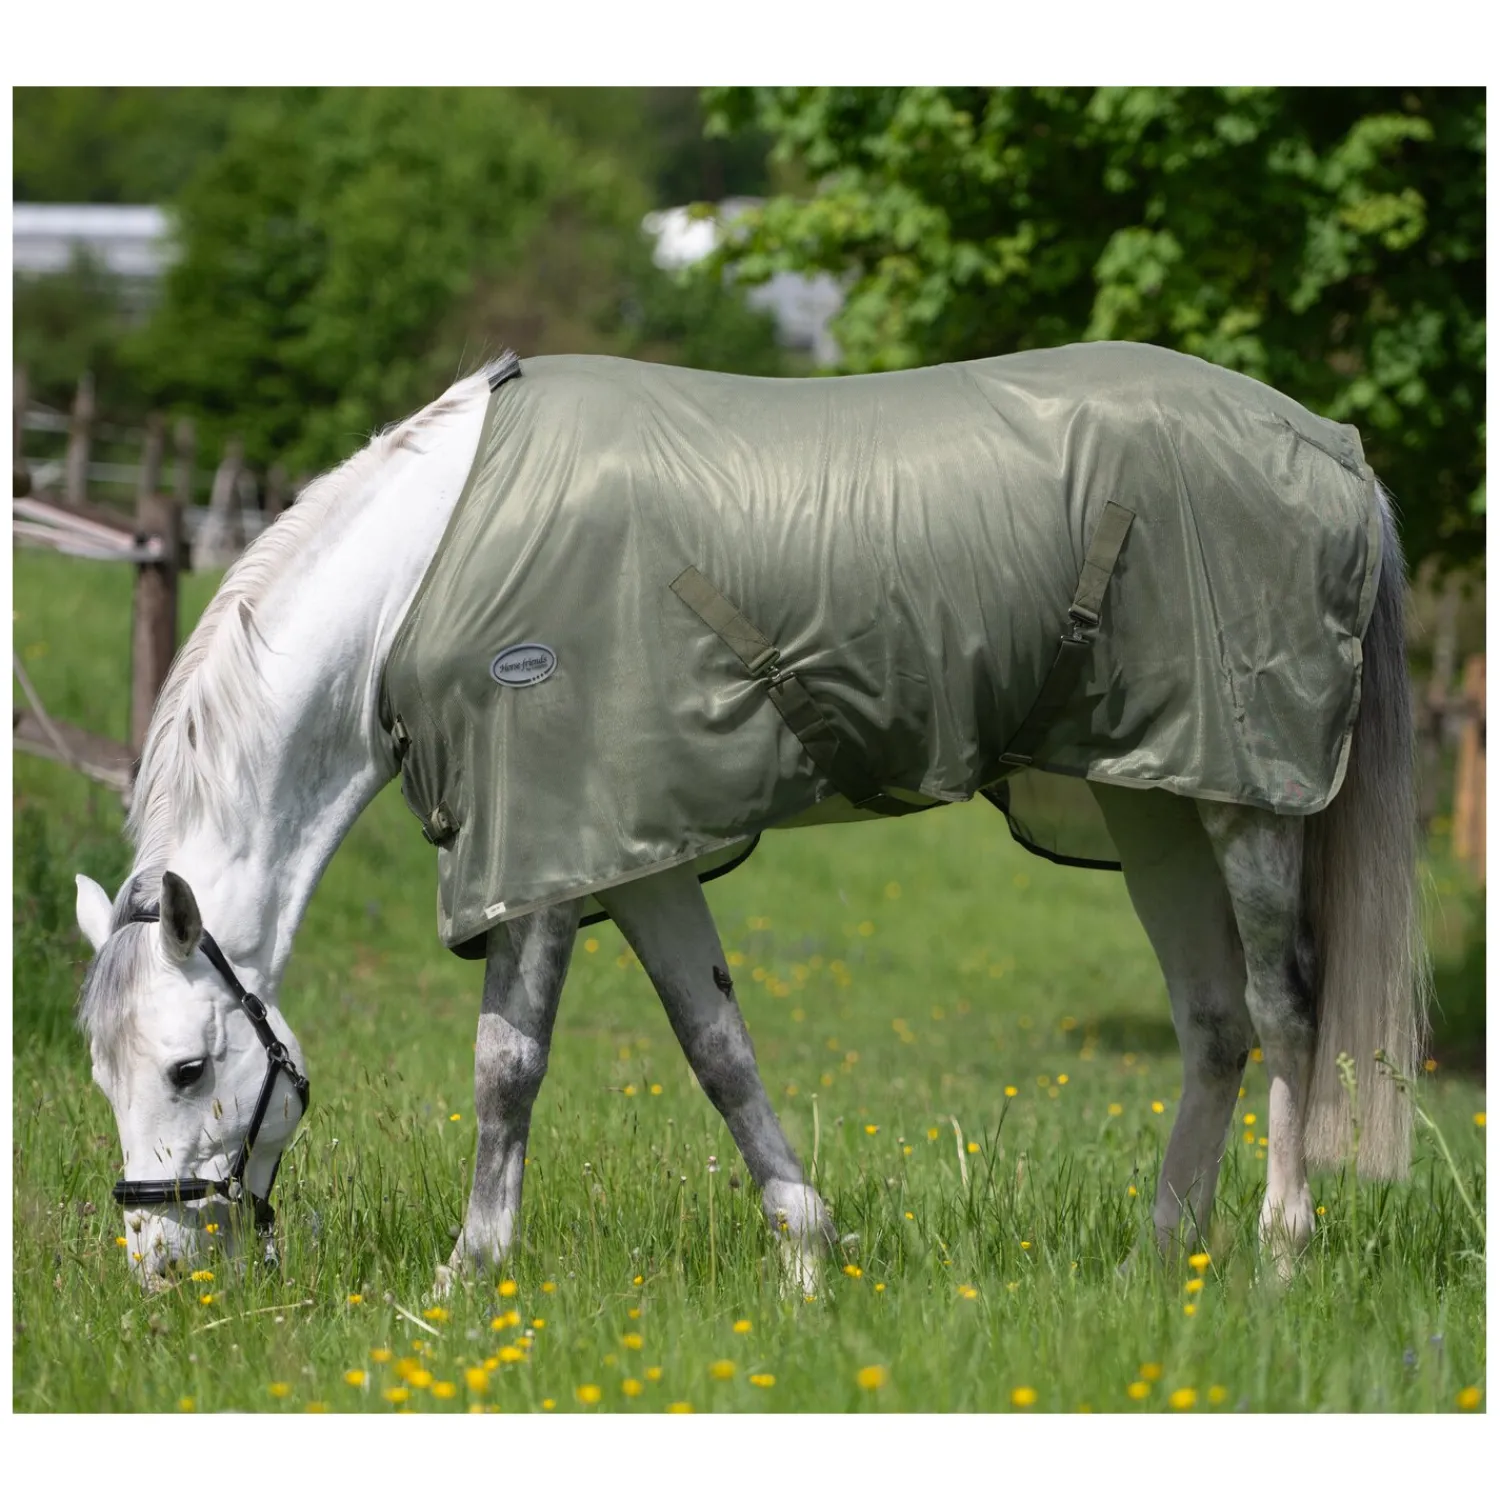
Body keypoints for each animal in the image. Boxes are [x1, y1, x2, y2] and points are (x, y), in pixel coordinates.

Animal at [72, 343, 1426, 1293]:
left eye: (188, 1067)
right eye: (100, 1071)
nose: (159, 1272)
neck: (425, 570)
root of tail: (1340, 455)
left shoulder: (542, 849)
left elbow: (507, 1068)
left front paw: (467, 1279)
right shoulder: (632, 851)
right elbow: (716, 1048)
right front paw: (808, 1255)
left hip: (1248, 804)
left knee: (1283, 1010)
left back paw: (1282, 1252)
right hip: (1147, 795)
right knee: (1212, 1023)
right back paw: (1163, 1258)